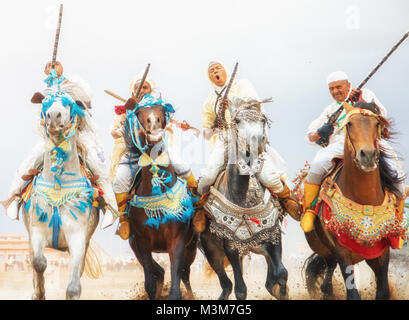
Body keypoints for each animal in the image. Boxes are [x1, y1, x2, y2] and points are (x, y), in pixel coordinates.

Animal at [23, 90, 100, 300]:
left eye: (70, 104)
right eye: (45, 102)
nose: (53, 116)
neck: (59, 186)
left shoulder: (78, 237)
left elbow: (74, 286)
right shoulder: (37, 231)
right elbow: (39, 262)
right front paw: (39, 293)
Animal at [122, 100, 198, 300]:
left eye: (162, 111)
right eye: (139, 113)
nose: (153, 122)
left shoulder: (177, 241)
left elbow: (176, 287)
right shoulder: (141, 242)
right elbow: (149, 282)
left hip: (192, 247)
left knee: (185, 274)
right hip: (134, 246)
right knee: (160, 272)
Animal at [302, 102, 404, 300]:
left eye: (377, 124)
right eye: (350, 124)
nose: (368, 155)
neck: (365, 202)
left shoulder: (382, 252)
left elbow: (383, 291)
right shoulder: (341, 250)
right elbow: (353, 294)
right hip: (324, 248)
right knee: (328, 275)